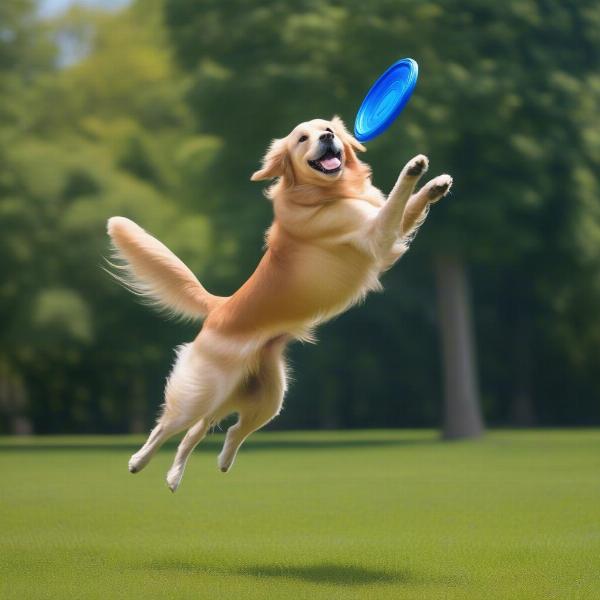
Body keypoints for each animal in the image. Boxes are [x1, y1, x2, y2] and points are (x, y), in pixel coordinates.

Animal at [106, 117, 450, 492]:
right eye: (302, 139)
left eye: (328, 128)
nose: (327, 137)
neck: (328, 192)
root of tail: (220, 306)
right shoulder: (375, 234)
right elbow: (396, 202)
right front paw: (414, 167)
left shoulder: (385, 228)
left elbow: (408, 207)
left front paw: (435, 186)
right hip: (204, 389)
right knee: (168, 424)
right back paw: (139, 461)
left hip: (264, 396)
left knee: (215, 430)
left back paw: (192, 471)